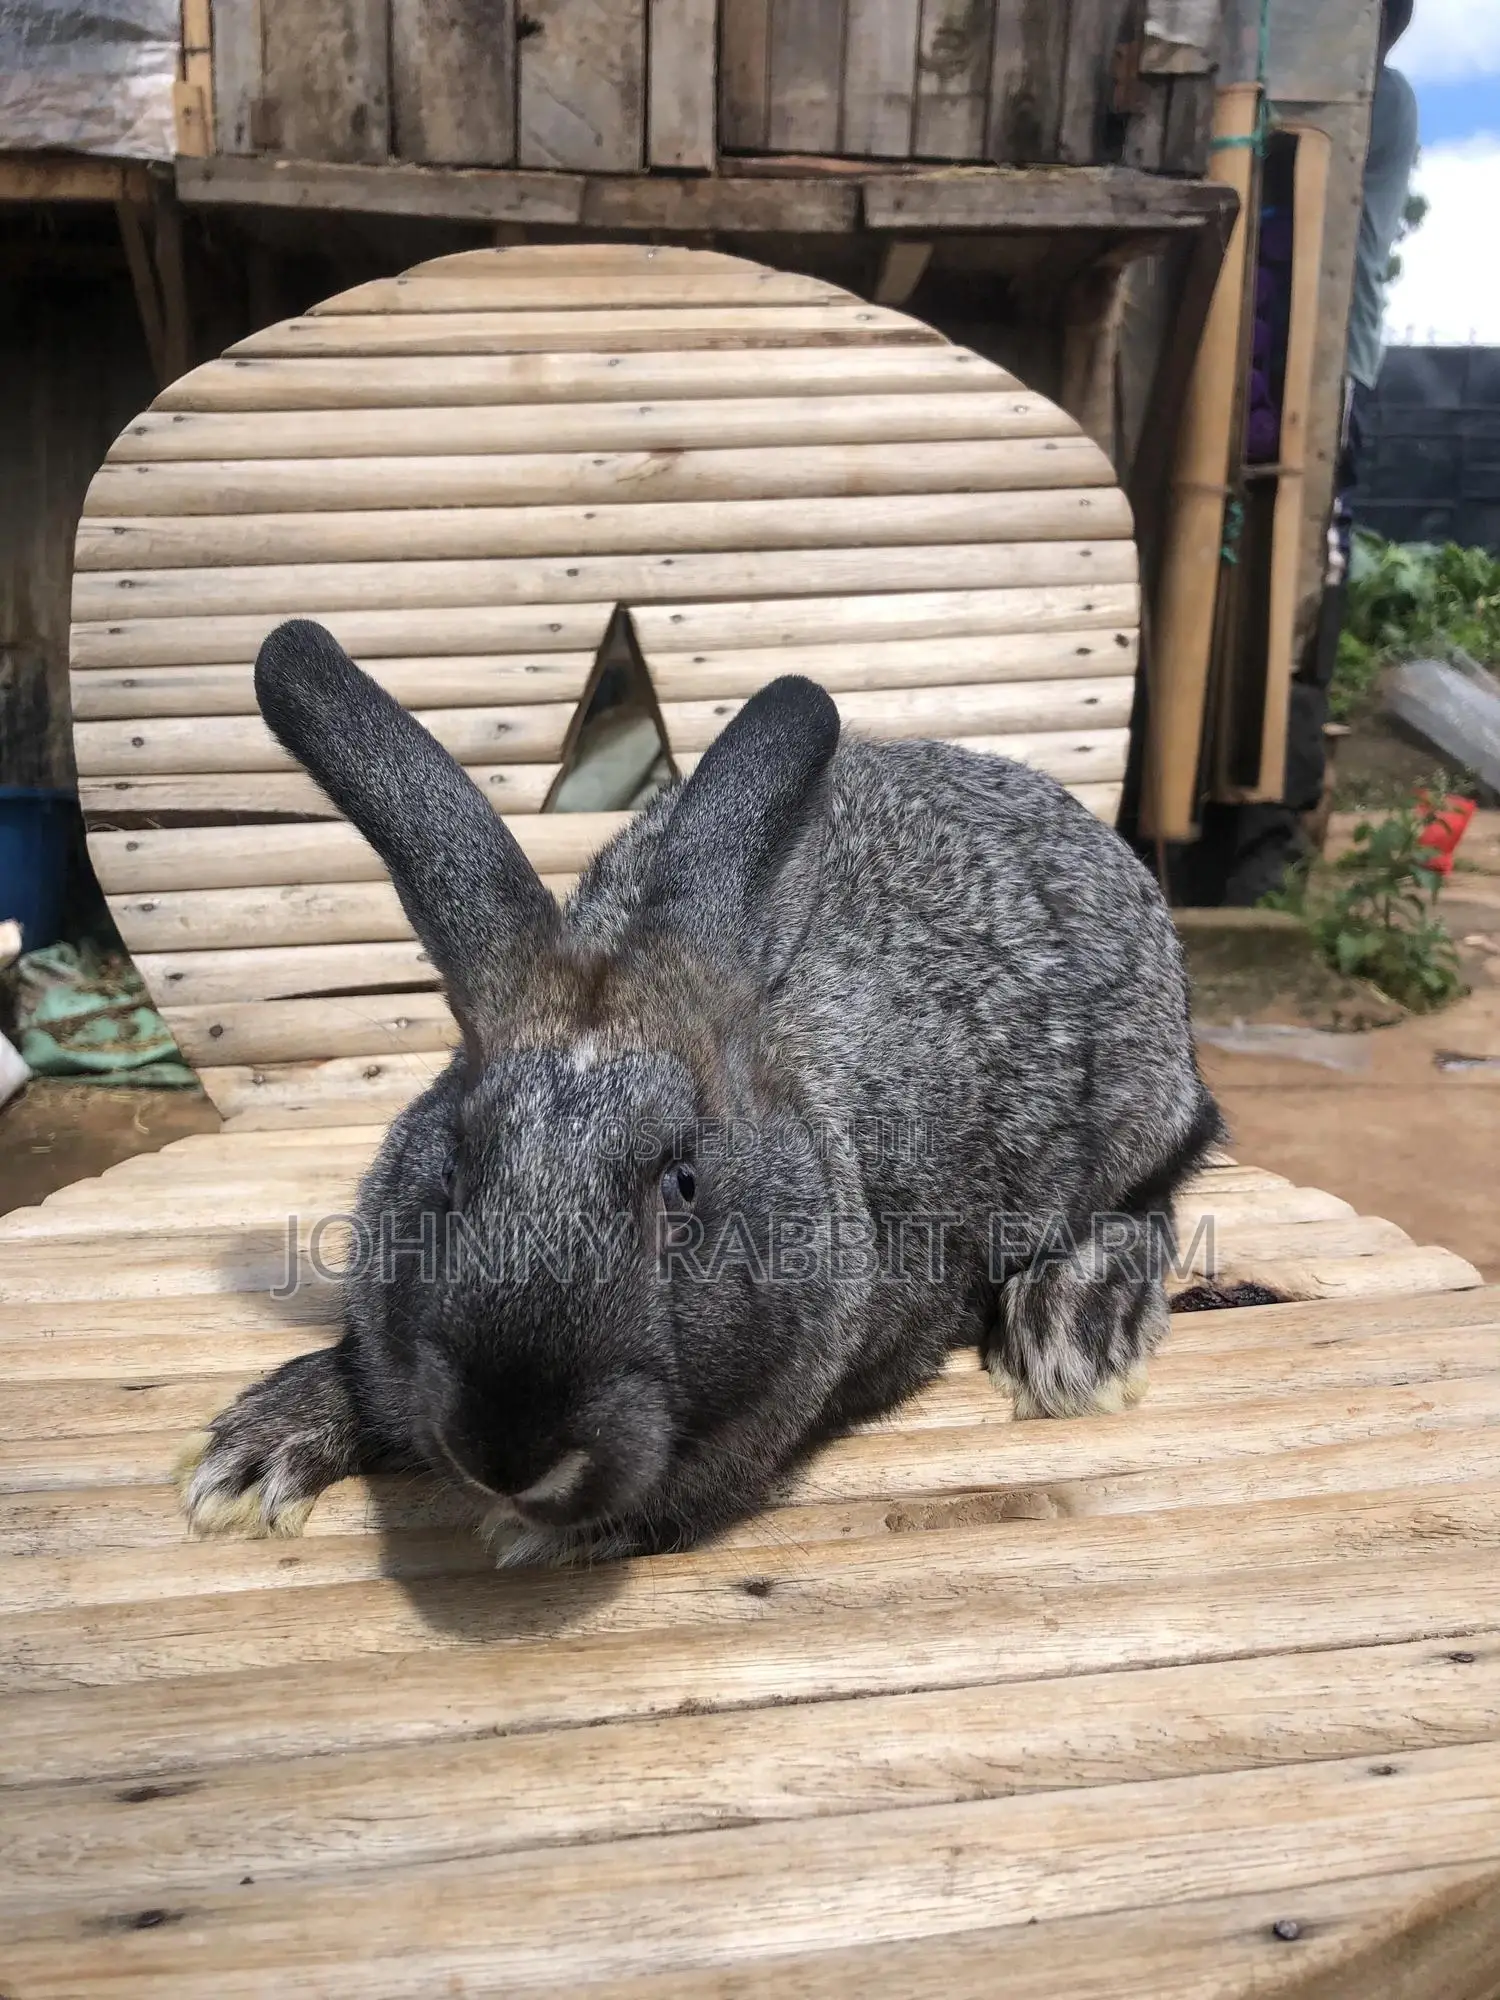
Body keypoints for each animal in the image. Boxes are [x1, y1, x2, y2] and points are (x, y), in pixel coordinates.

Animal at [177, 616, 1221, 1563]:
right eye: (454, 1170)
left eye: (684, 1183)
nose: (510, 1452)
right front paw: (250, 1461)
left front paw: (544, 1538)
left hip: (1135, 1110)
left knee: (1161, 1188)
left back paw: (1075, 1334)